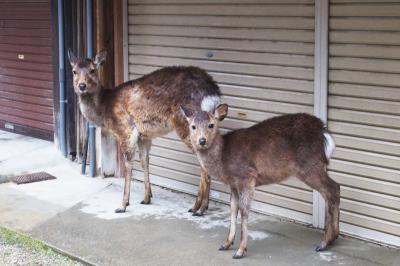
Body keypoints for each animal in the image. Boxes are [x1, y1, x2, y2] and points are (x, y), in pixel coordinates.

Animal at [67, 48, 220, 215]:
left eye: (92, 70)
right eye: (74, 71)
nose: (81, 86)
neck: (105, 110)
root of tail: (212, 92)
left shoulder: (126, 130)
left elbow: (129, 164)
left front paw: (123, 205)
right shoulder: (144, 136)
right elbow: (144, 160)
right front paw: (146, 198)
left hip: (187, 124)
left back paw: (198, 208)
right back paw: (203, 206)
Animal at [182, 104, 340, 260]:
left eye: (211, 124)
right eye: (193, 126)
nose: (202, 141)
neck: (223, 159)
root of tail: (324, 132)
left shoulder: (247, 176)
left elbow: (244, 211)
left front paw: (240, 250)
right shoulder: (233, 184)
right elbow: (233, 210)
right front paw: (226, 243)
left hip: (310, 165)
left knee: (332, 188)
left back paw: (324, 243)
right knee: (333, 189)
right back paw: (332, 239)